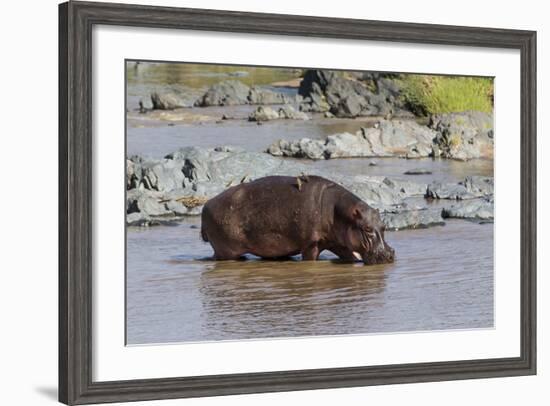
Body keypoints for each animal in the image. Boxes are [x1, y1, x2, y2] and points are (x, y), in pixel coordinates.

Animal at [203, 175, 396, 264]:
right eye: (367, 229)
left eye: (384, 226)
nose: (389, 253)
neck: (340, 213)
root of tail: (206, 204)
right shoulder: (311, 243)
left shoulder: (338, 243)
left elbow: (351, 256)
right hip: (225, 250)